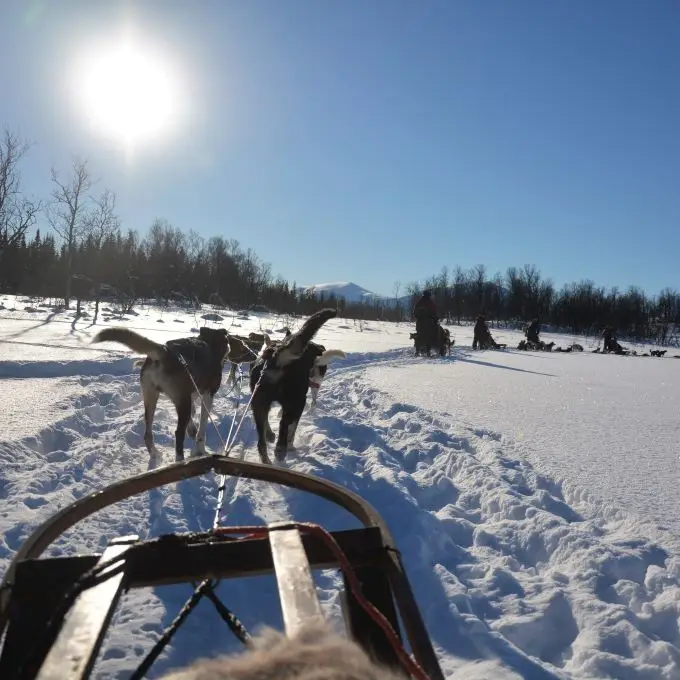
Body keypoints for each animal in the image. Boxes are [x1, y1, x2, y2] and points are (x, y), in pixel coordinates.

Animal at [92, 326, 231, 460]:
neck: (210, 342)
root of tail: (165, 351)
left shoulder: (188, 395)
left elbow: (193, 414)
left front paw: (192, 430)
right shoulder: (207, 395)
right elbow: (202, 429)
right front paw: (201, 450)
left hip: (151, 397)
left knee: (148, 434)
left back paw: (155, 454)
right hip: (180, 402)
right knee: (178, 434)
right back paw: (180, 460)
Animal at [250, 308, 337, 464]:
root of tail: (276, 358)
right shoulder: (299, 405)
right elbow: (292, 429)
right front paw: (290, 445)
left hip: (259, 402)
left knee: (261, 439)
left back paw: (267, 455)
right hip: (294, 402)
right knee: (283, 425)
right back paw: (280, 450)